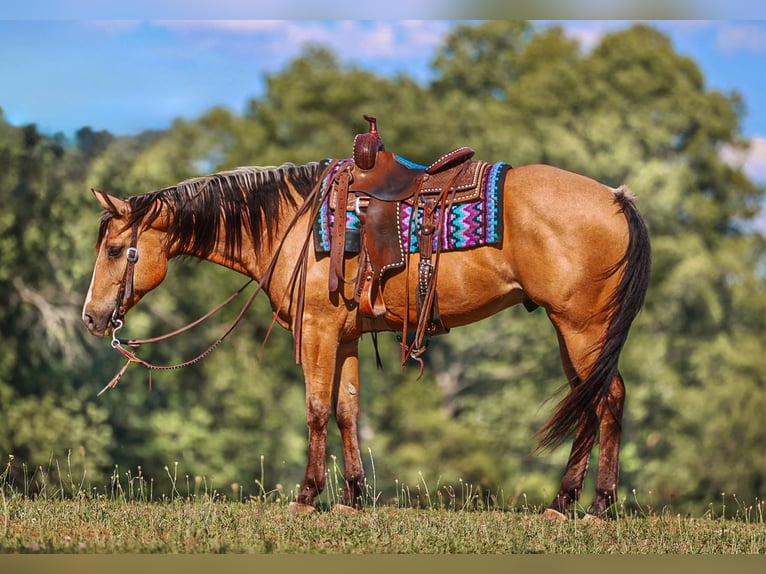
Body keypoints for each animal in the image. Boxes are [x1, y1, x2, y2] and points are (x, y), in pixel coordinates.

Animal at [81, 149, 650, 520]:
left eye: (115, 250)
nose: (91, 317)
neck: (295, 223)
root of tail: (615, 197)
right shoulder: (346, 335)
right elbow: (347, 410)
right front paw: (351, 498)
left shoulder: (317, 330)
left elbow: (315, 409)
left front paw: (307, 497)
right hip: (571, 329)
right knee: (590, 401)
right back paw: (564, 504)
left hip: (582, 327)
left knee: (608, 400)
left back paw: (596, 507)